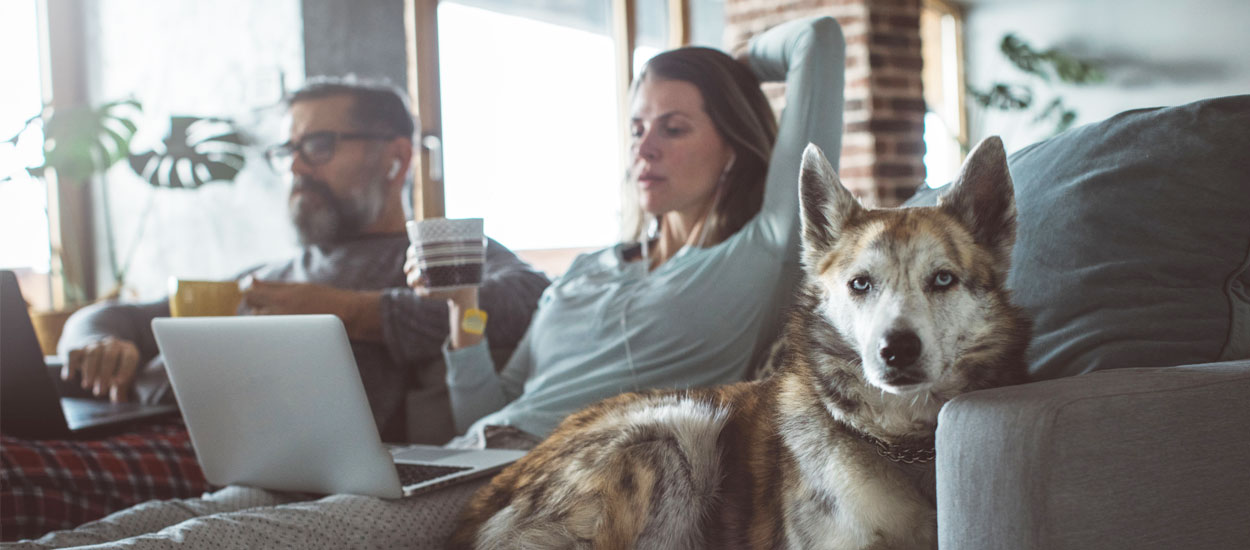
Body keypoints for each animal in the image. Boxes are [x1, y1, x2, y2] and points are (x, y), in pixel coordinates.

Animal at [447, 137, 1025, 550]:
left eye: (943, 279)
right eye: (860, 284)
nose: (896, 350)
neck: (902, 443)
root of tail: (478, 506)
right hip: (677, 430)